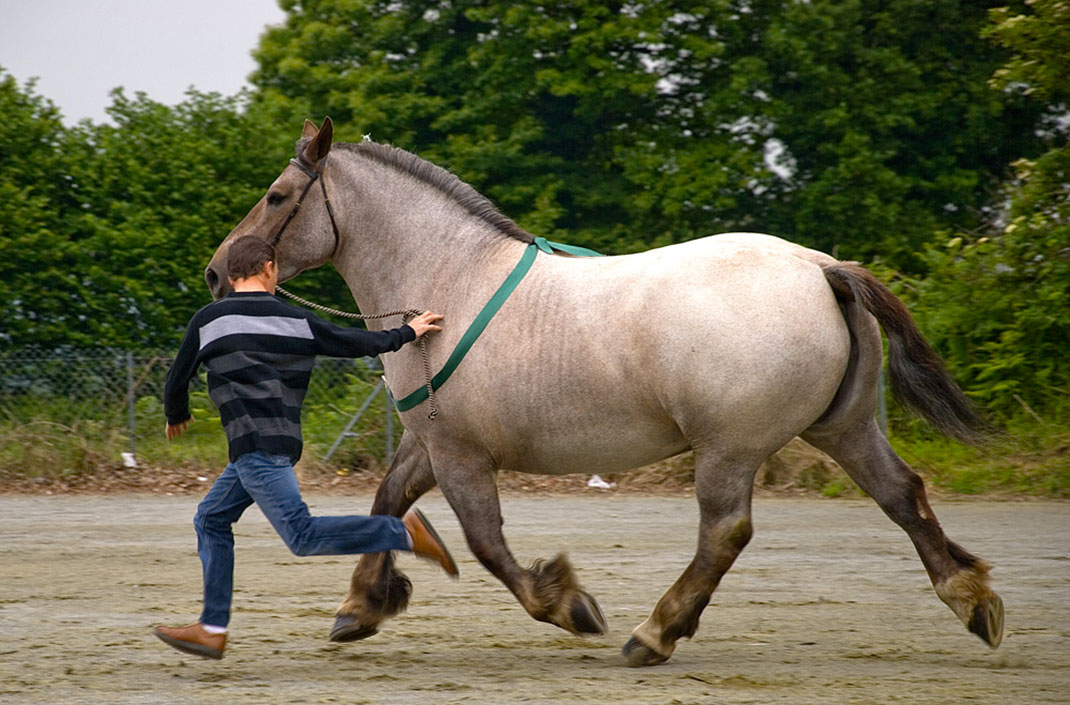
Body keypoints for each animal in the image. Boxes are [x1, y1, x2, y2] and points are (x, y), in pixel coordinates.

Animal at [204, 117, 1003, 666]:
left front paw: (566, 604)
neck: (450, 282)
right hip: (845, 429)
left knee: (724, 533)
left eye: (277, 195)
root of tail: (819, 266)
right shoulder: (431, 444)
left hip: (730, 449)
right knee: (903, 495)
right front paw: (362, 606)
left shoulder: (462, 456)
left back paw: (656, 631)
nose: (218, 272)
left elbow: (486, 543)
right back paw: (971, 598)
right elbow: (387, 502)